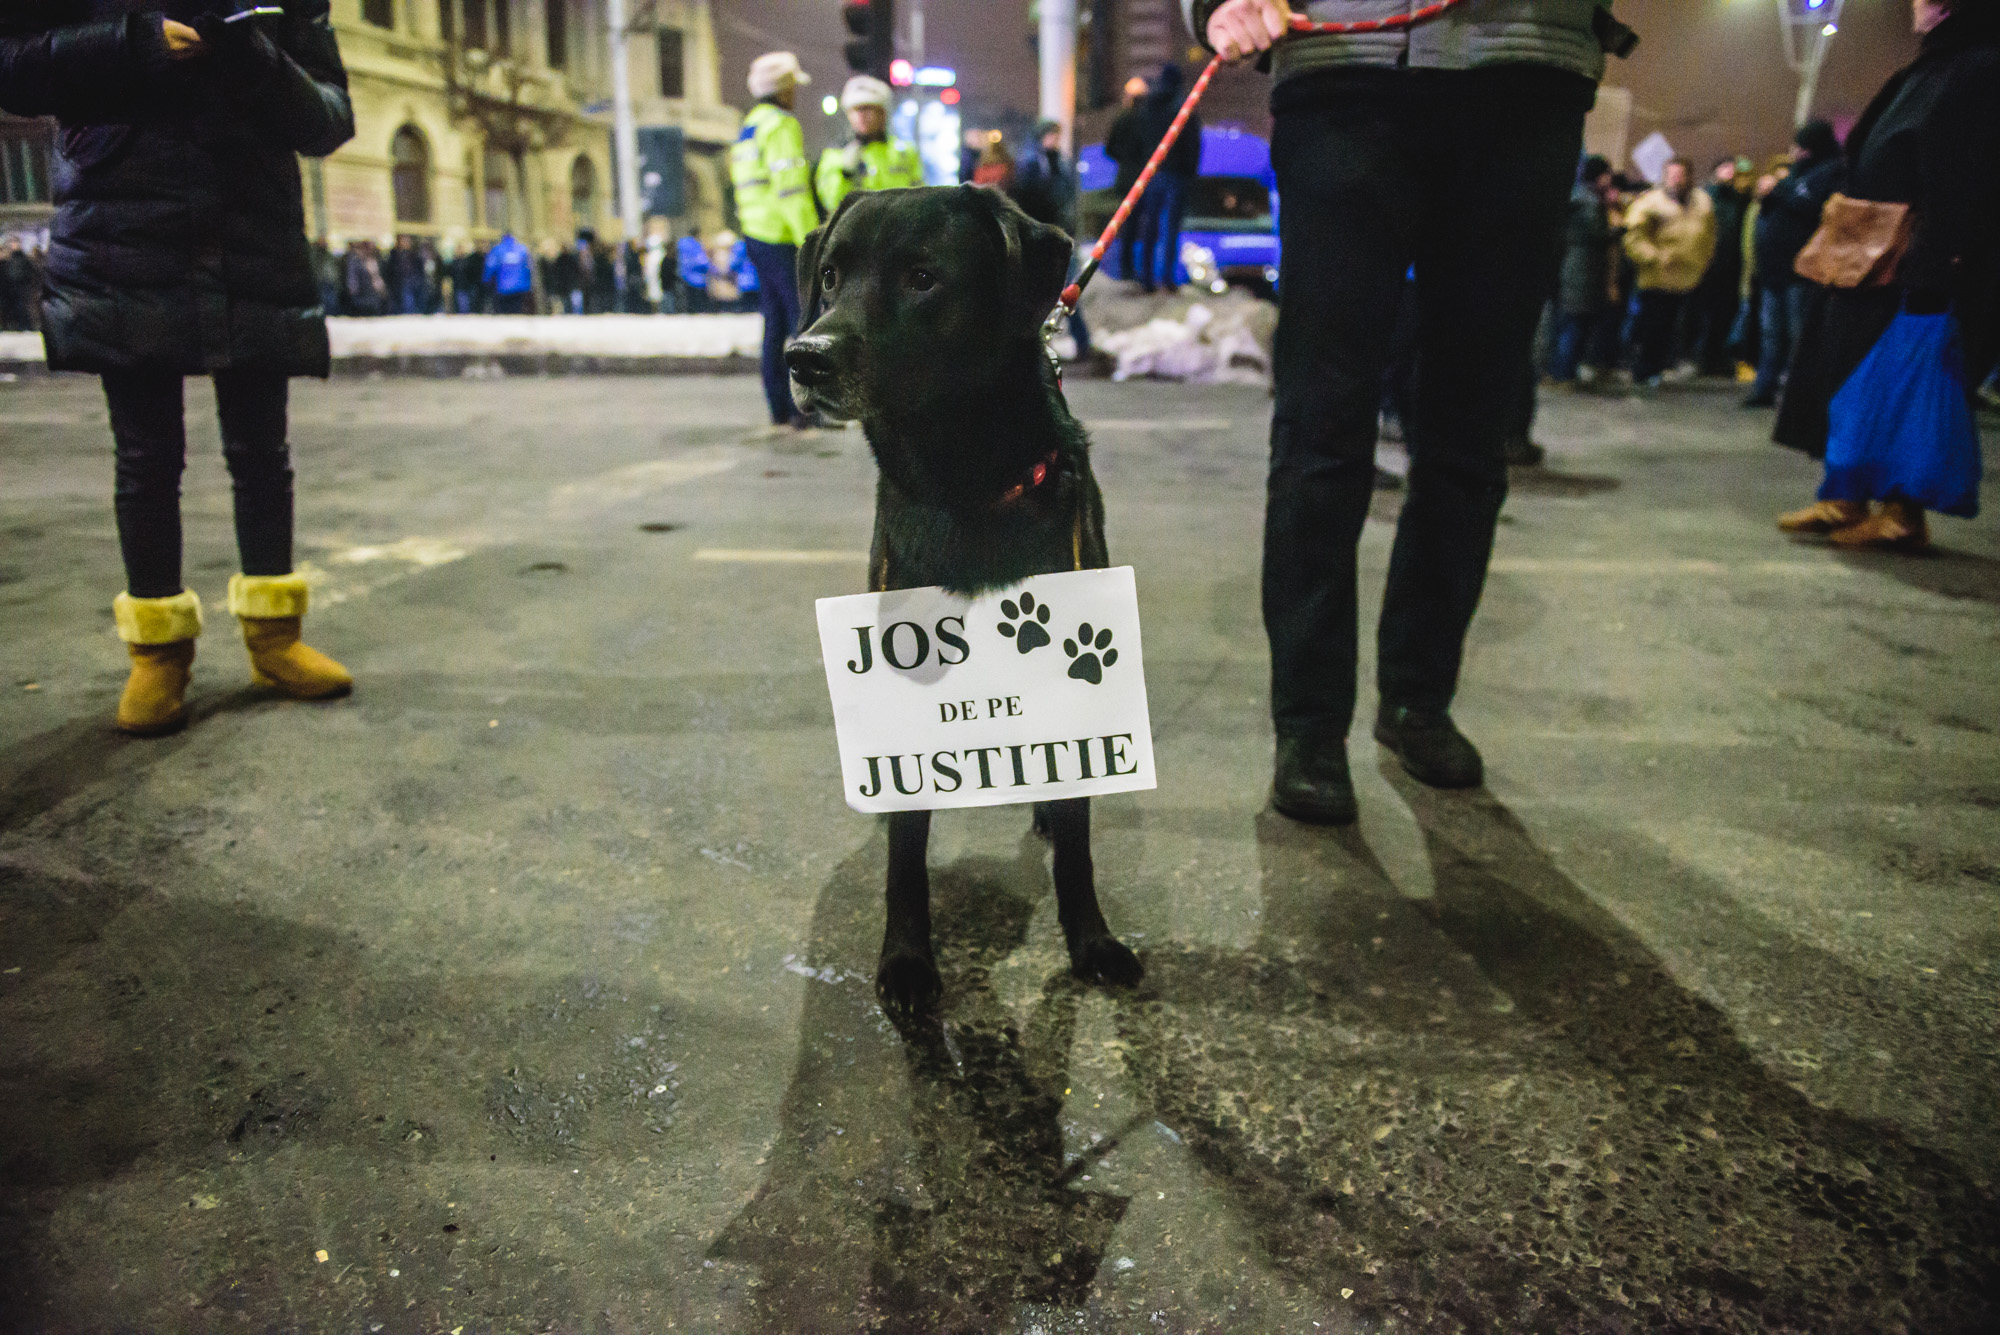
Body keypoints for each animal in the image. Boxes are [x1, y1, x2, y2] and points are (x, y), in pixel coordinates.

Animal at [788, 182, 1152, 1007]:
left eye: (924, 277)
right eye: (829, 276)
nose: (804, 356)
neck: (964, 486)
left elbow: (1078, 847)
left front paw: (1091, 939)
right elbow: (904, 861)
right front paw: (907, 960)